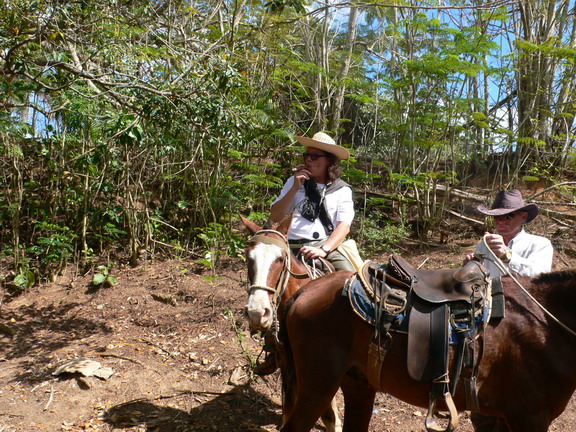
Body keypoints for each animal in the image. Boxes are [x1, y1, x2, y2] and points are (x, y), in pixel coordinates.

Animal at [280, 268, 576, 430]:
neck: (545, 322)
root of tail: (304, 290)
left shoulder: (510, 417)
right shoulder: (530, 417)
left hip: (358, 385)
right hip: (318, 387)